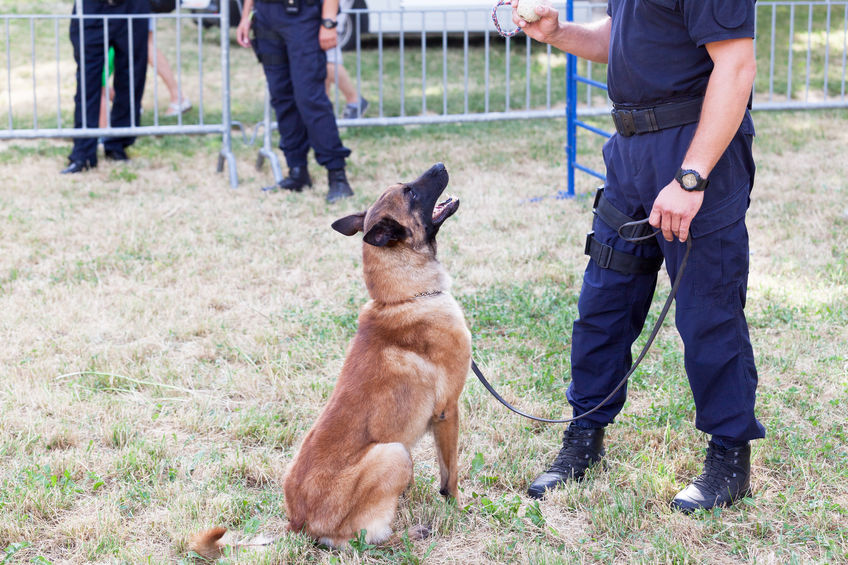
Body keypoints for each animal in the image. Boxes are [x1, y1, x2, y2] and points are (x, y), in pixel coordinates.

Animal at [190, 163, 470, 556]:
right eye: (411, 192)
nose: (440, 166)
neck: (403, 298)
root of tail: (296, 523)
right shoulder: (448, 411)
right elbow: (451, 473)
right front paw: (457, 505)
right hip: (395, 454)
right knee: (362, 540)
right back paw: (408, 534)